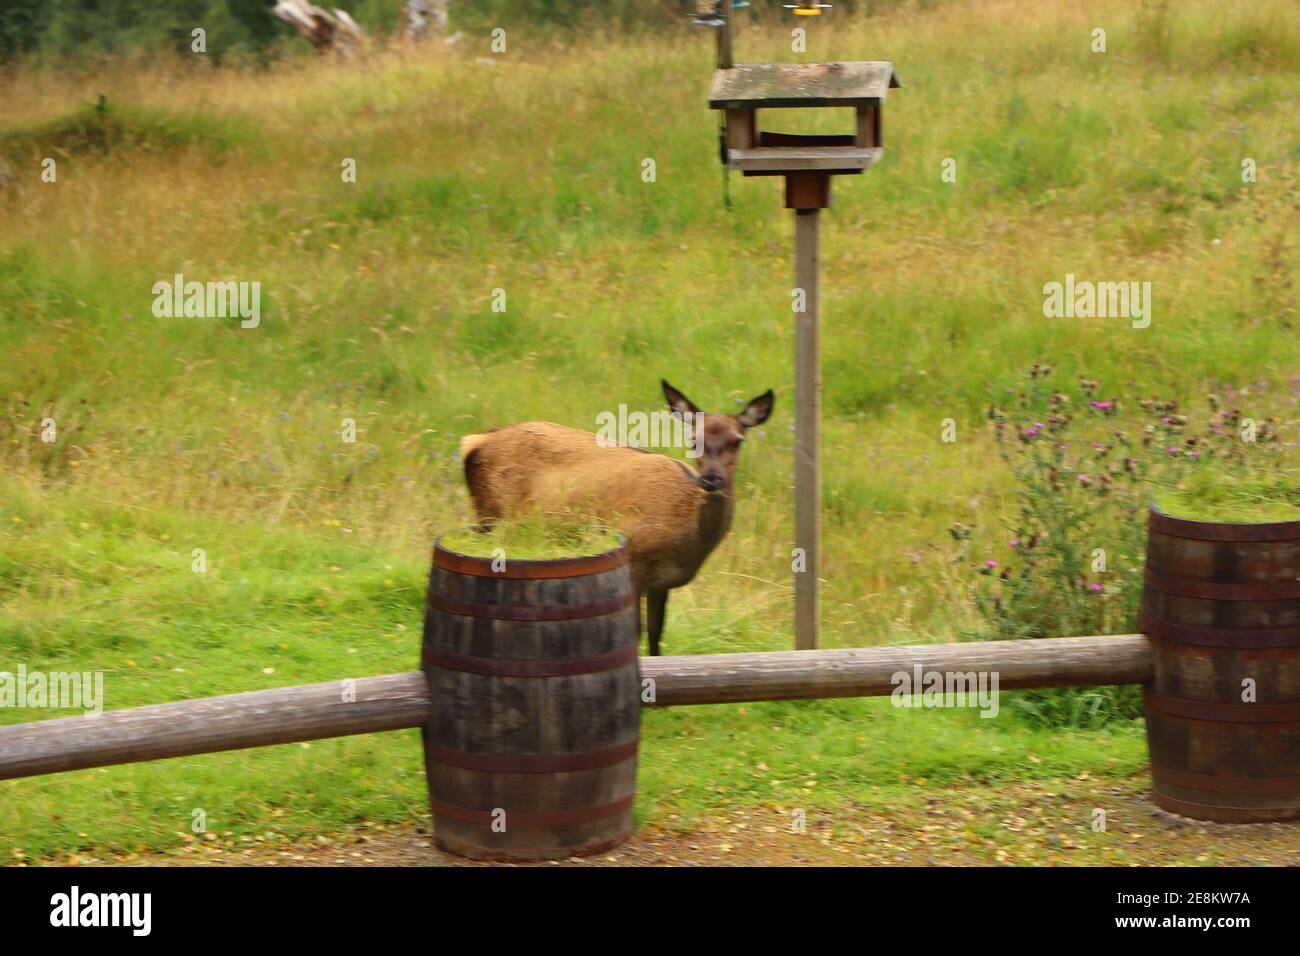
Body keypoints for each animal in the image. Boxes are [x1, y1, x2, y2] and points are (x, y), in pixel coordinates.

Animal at [458, 381, 774, 656]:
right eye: (693, 438)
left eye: (737, 440)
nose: (711, 480)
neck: (688, 542)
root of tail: (473, 441)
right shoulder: (635, 560)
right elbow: (633, 633)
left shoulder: (662, 582)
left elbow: (656, 634)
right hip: (492, 514)